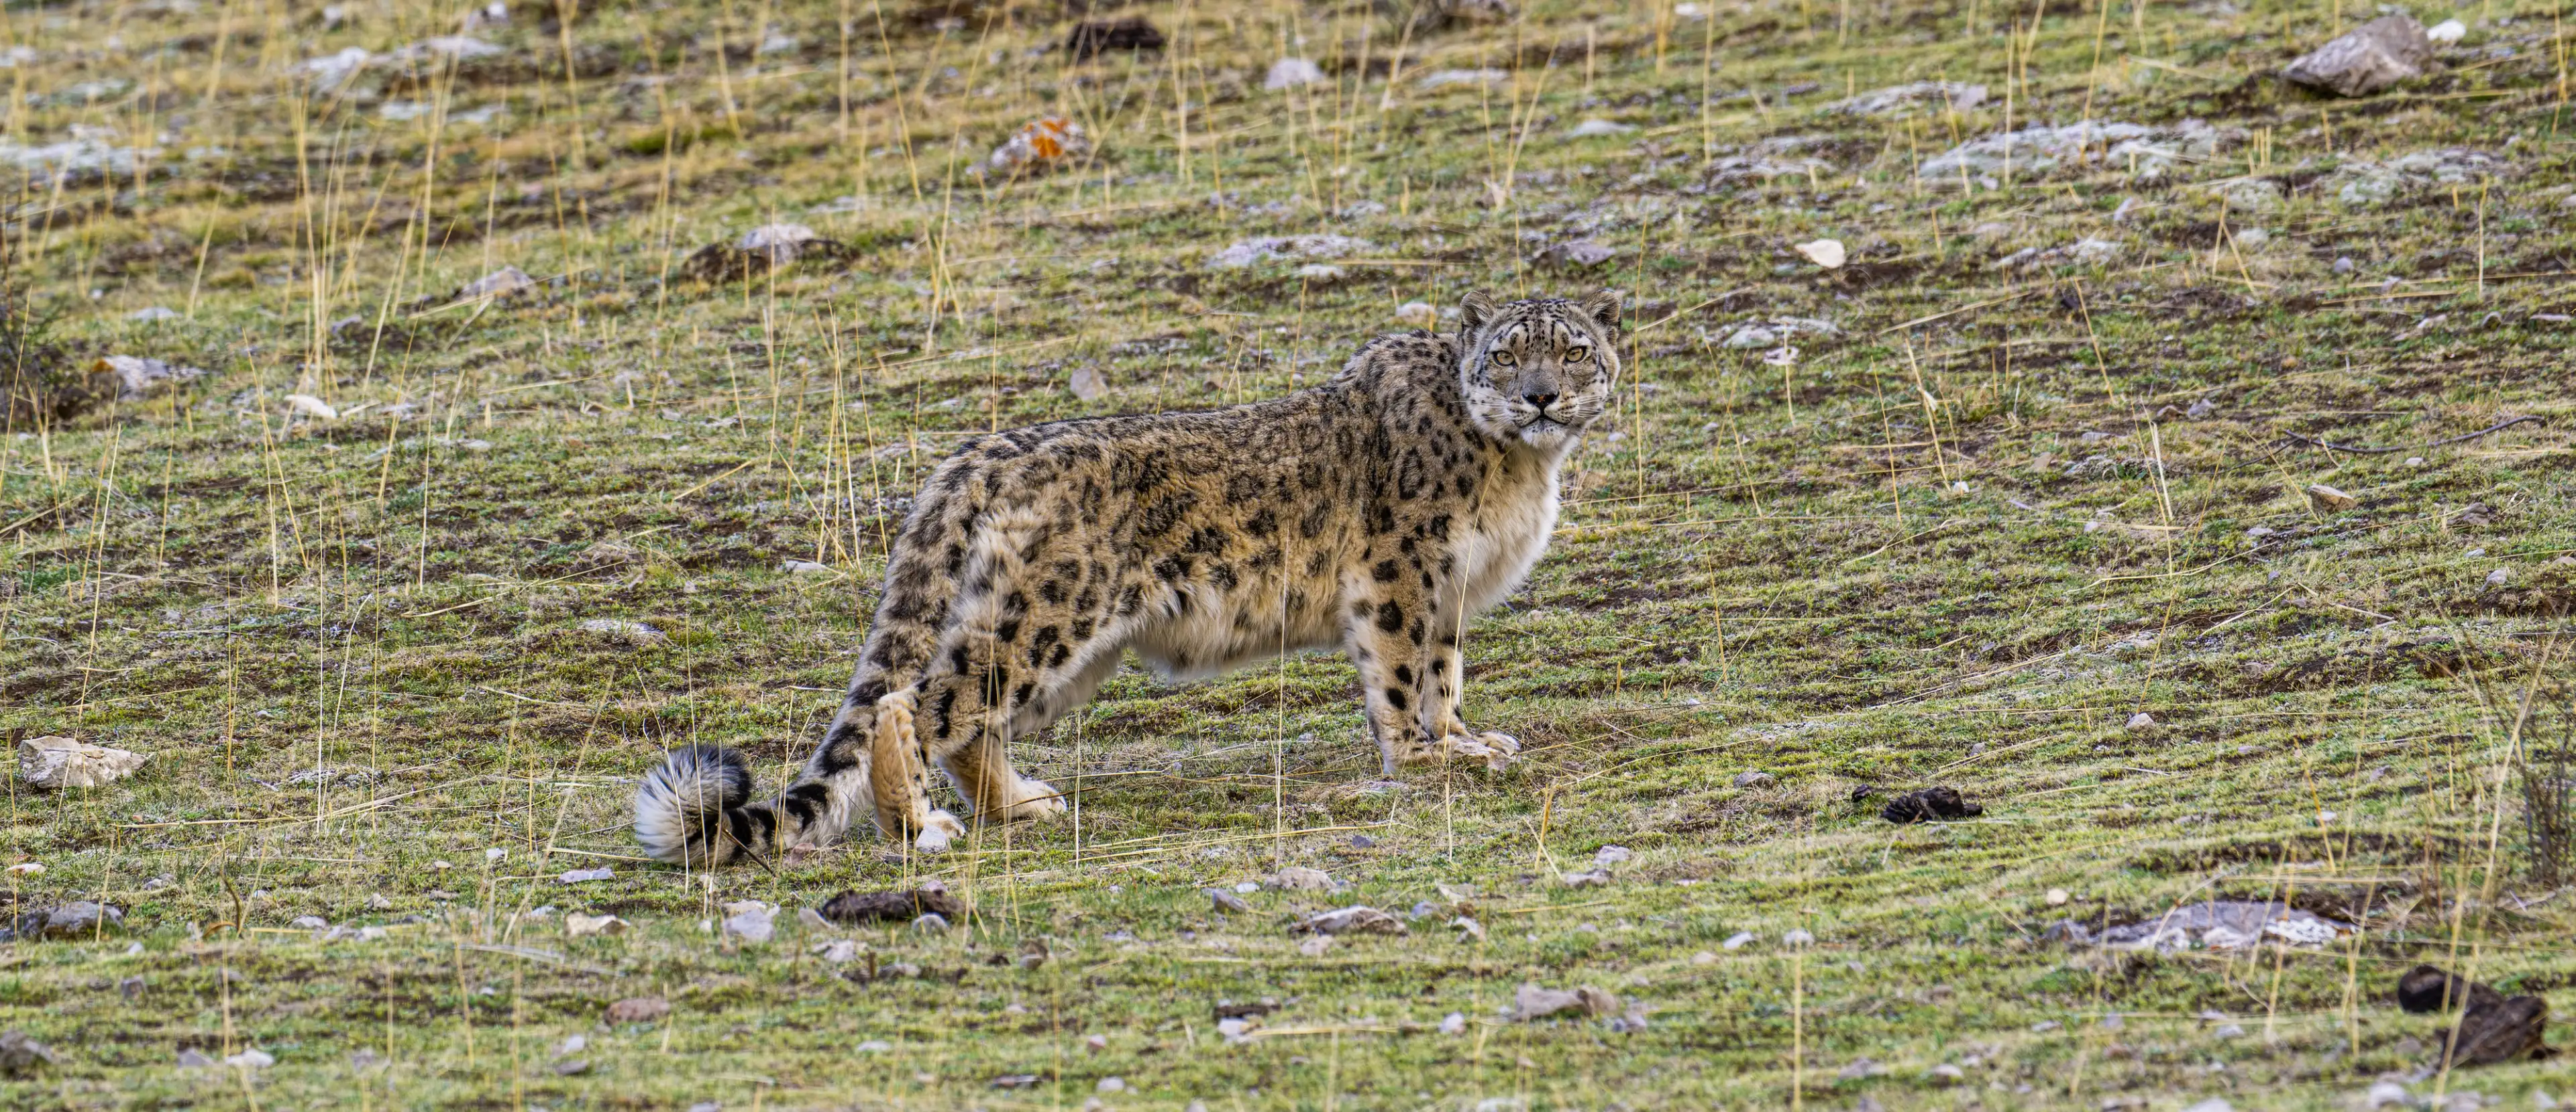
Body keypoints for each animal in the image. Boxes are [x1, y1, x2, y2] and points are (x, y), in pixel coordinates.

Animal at [634, 288, 1623, 867]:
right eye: (1508, 353)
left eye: (1574, 350)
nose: (1540, 394)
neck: (1520, 469)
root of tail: (981, 450)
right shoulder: (1403, 571)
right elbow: (1402, 669)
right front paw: (1425, 757)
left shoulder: (1450, 589)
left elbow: (1444, 670)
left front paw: (1465, 737)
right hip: (1049, 614)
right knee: (915, 701)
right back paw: (919, 825)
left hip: (1060, 639)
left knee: (966, 717)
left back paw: (1020, 803)